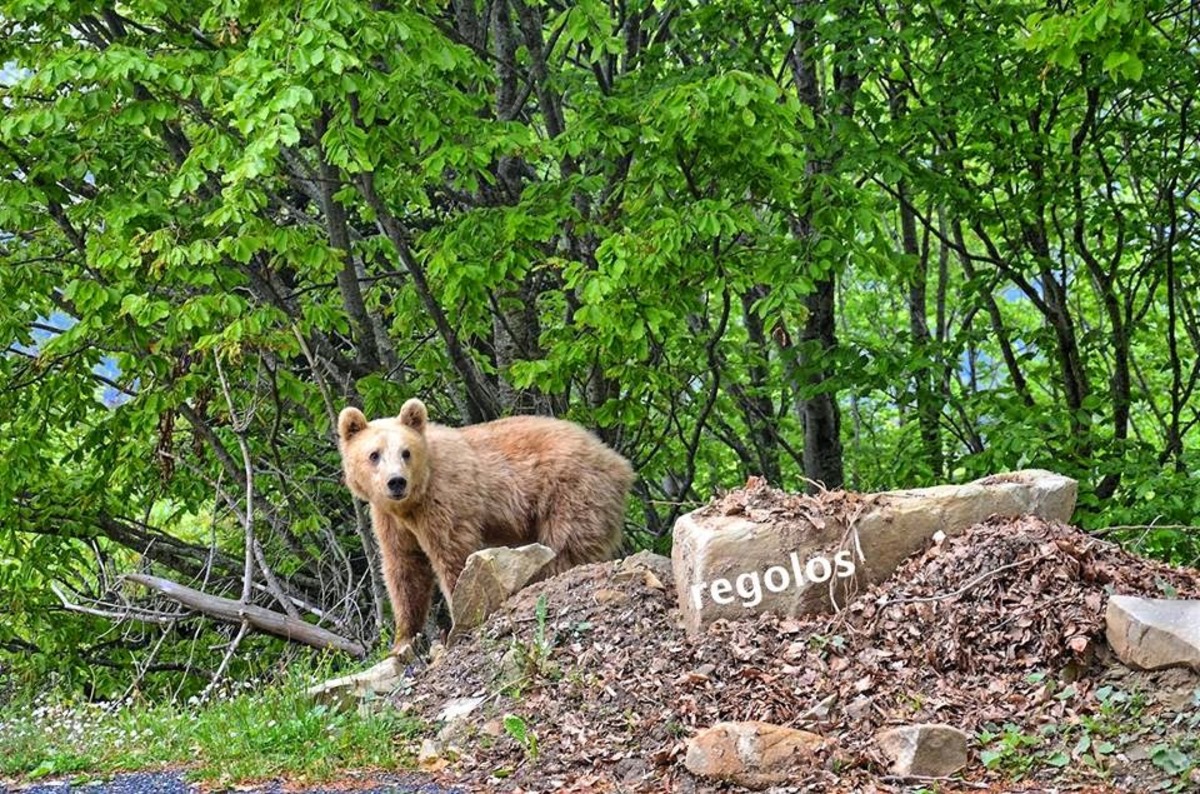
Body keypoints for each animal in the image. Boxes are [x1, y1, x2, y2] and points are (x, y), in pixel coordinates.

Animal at [338, 400, 633, 657]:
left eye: (406, 452)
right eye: (374, 454)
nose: (396, 482)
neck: (412, 504)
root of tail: (617, 461)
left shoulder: (444, 500)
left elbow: (453, 556)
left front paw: (459, 618)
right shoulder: (390, 522)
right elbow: (405, 569)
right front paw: (403, 639)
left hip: (571, 491)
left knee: (566, 545)